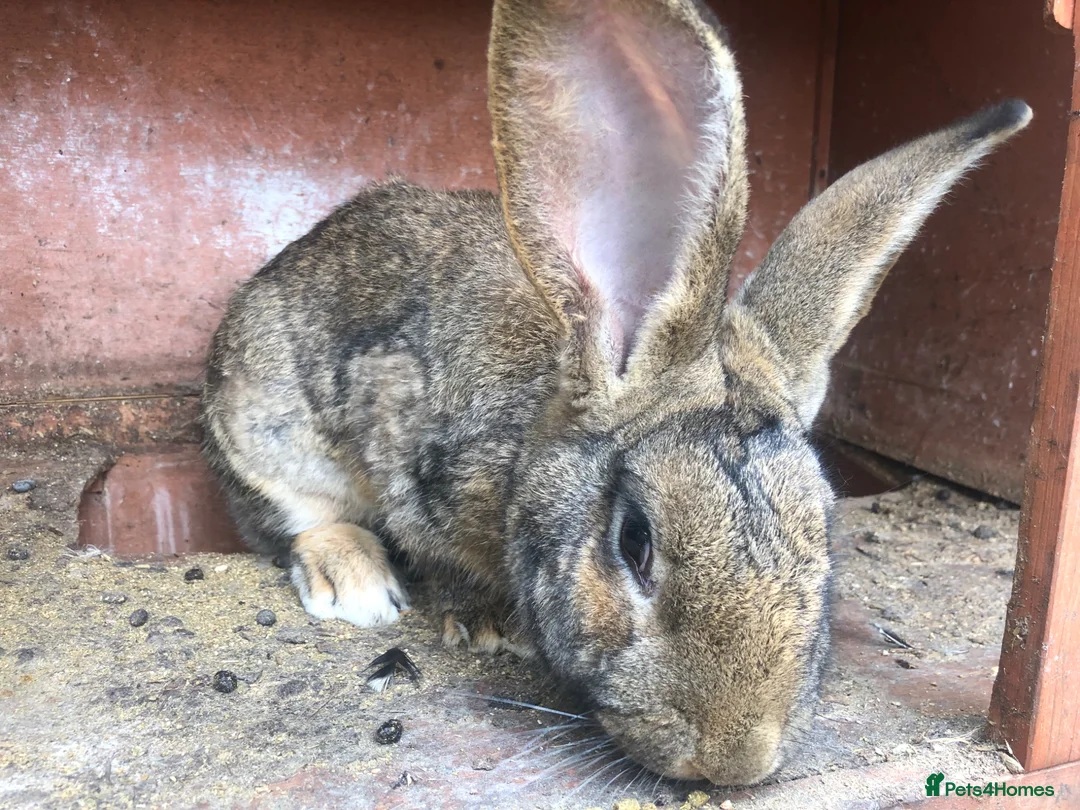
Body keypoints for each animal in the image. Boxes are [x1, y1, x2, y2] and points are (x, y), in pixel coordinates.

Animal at [200, 0, 1031, 786]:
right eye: (636, 542)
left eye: (825, 534)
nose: (734, 758)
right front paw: (487, 623)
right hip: (260, 411)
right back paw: (353, 580)